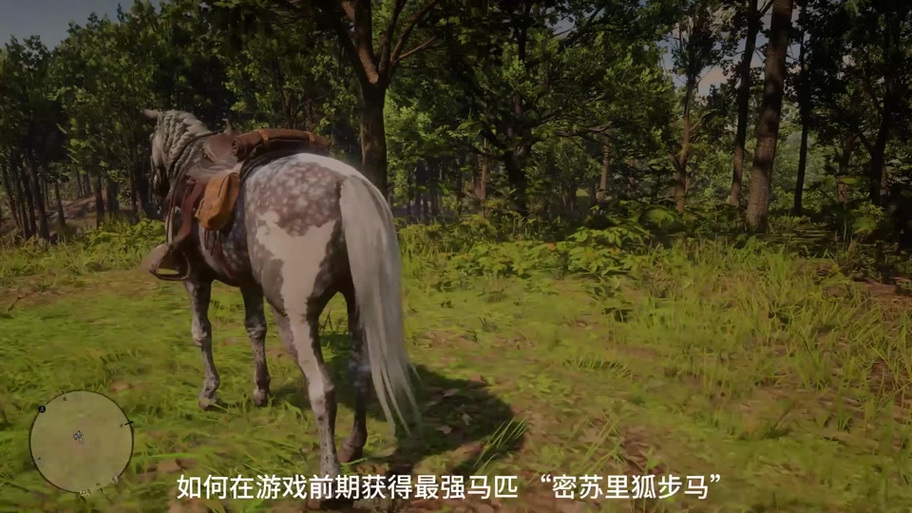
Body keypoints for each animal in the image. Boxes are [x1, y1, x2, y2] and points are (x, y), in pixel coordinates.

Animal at [141, 108, 419, 479]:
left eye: (151, 140)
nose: (155, 184)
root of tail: (347, 184)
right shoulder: (248, 283)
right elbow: (255, 329)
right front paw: (261, 390)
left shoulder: (195, 277)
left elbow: (202, 334)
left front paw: (209, 393)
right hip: (358, 305)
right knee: (361, 372)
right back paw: (352, 445)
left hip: (295, 317)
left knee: (323, 391)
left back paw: (329, 476)